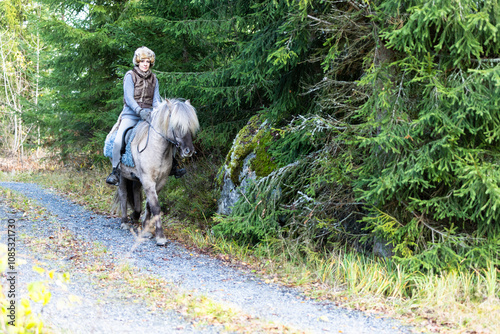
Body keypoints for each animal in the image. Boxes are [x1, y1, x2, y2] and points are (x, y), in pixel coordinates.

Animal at [110, 98, 199, 245]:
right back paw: (124, 222)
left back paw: (135, 215)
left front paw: (146, 230)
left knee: (135, 191)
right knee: (123, 195)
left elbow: (148, 205)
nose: (189, 151)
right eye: (177, 124)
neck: (157, 150)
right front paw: (160, 237)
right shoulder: (148, 180)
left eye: (190, 125)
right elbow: (156, 207)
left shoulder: (160, 181)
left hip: (136, 178)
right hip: (122, 175)